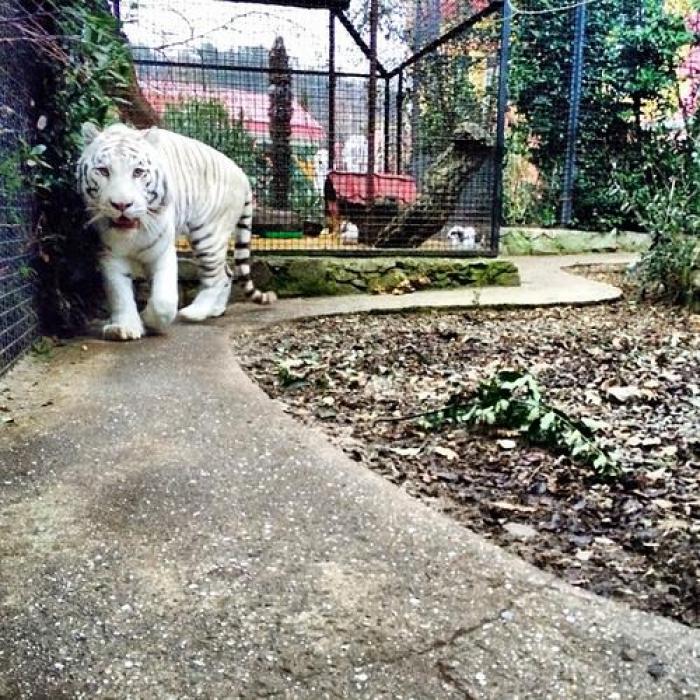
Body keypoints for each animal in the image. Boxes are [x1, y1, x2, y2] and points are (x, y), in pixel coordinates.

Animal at [76, 123, 274, 342]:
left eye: (138, 172)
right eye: (103, 171)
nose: (121, 204)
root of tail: (242, 174)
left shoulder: (162, 250)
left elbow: (164, 301)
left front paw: (148, 319)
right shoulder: (110, 255)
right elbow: (119, 293)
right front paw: (124, 327)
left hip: (208, 235)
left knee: (217, 276)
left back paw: (195, 312)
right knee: (227, 272)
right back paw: (215, 310)